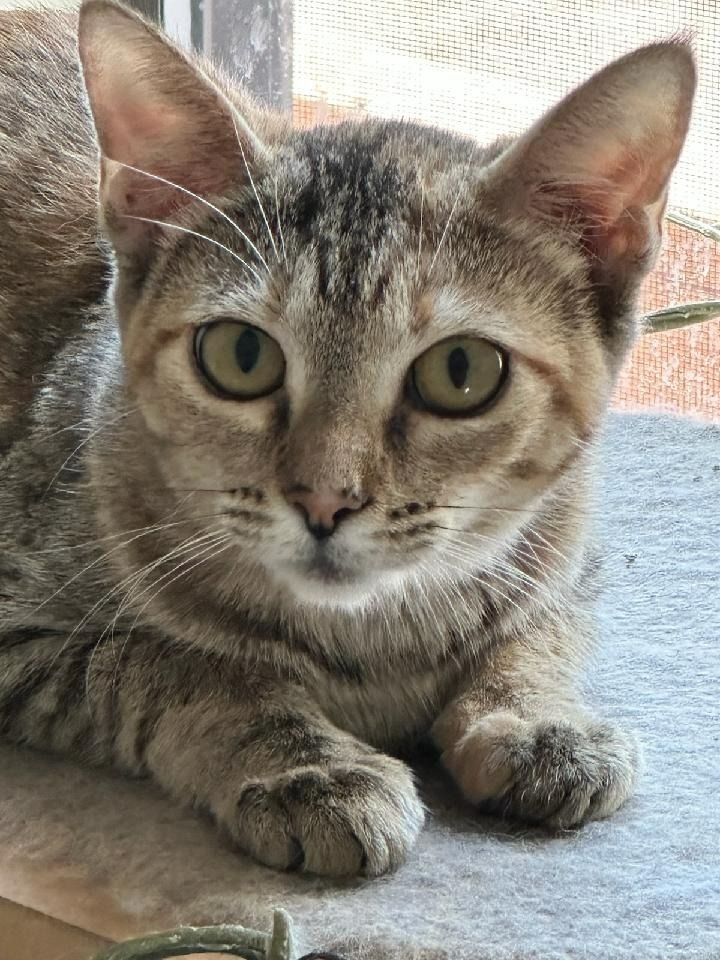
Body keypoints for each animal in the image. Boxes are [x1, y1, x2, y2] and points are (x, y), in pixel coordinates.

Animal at [0, 0, 696, 876]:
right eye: (240, 355)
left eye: (462, 371)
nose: (324, 501)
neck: (373, 637)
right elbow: (175, 663)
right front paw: (307, 765)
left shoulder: (572, 549)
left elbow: (545, 625)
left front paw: (534, 715)